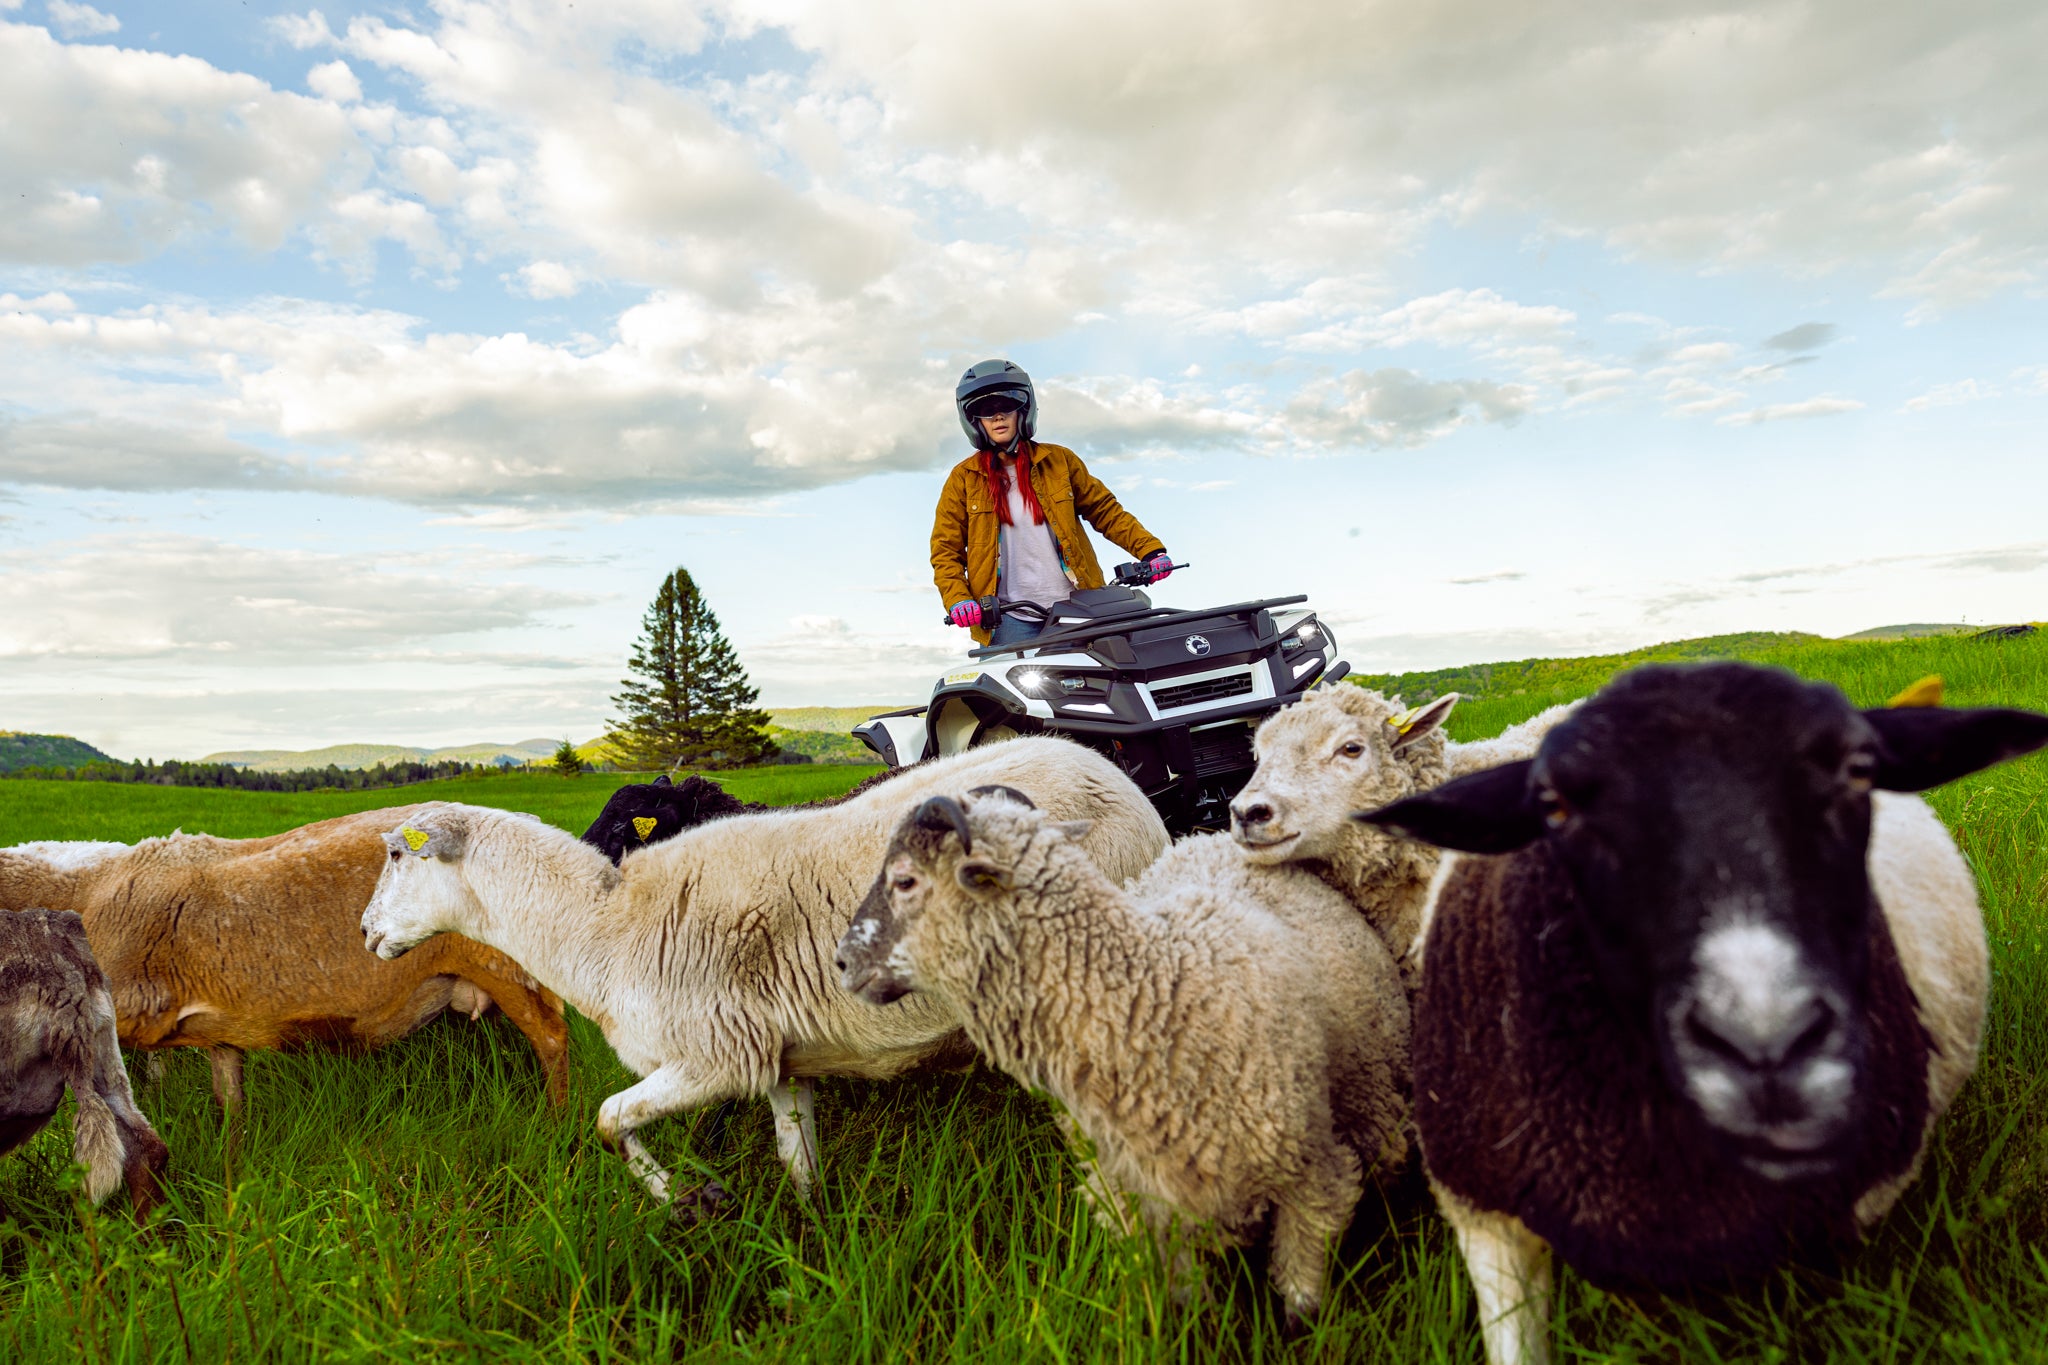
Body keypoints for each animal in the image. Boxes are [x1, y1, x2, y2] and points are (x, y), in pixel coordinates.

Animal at [0, 806, 569, 1111]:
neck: (87, 888)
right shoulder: (218, 1026)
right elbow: (228, 1097)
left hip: (508, 969)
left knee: (552, 1041)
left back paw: (559, 1126)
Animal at [358, 736, 1170, 1210]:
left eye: (398, 853)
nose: (364, 933)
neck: (604, 928)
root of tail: (1117, 776)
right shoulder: (780, 1057)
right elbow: (797, 1164)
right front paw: (815, 1244)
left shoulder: (716, 1057)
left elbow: (608, 1120)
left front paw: (680, 1196)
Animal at [833, 789, 1409, 1323]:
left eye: (905, 880)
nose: (841, 961)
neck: (1152, 1001)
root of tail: (1207, 839)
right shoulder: (1144, 1206)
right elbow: (1189, 1310)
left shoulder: (1314, 1180)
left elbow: (1300, 1305)